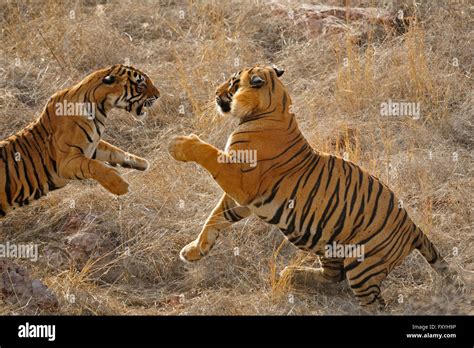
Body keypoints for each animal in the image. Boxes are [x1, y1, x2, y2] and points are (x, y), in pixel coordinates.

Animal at [0, 64, 160, 218]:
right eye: (141, 86)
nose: (158, 95)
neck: (100, 109)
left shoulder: (93, 146)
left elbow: (115, 152)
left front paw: (143, 163)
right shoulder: (66, 163)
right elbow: (94, 166)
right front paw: (120, 185)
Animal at [168, 65, 462, 308]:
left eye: (232, 82)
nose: (215, 92)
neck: (273, 106)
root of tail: (412, 227)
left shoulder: (242, 181)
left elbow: (208, 154)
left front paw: (180, 144)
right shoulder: (242, 200)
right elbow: (214, 219)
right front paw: (193, 251)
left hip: (363, 266)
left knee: (375, 303)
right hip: (327, 245)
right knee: (333, 276)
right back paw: (292, 274)